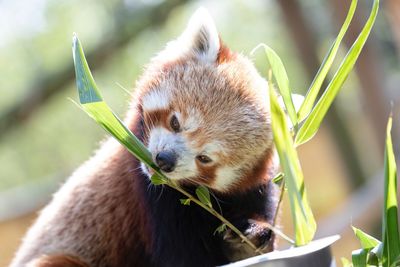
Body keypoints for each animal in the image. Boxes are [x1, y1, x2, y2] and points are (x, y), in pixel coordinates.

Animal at [10, 7, 278, 266]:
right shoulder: (150, 201)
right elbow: (182, 255)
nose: (164, 160)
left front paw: (249, 240)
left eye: (205, 158)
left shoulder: (256, 190)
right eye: (175, 122)